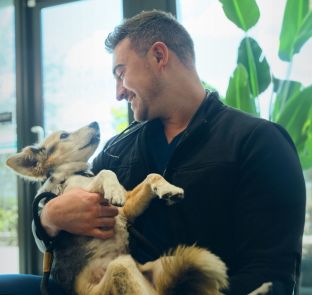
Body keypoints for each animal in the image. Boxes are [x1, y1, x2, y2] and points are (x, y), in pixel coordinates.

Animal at [5, 121, 229, 294]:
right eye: (64, 135)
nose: (95, 123)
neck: (75, 174)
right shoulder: (82, 196)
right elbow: (106, 172)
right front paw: (114, 190)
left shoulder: (127, 210)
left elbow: (152, 175)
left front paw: (169, 189)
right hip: (121, 267)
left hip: (174, 261)